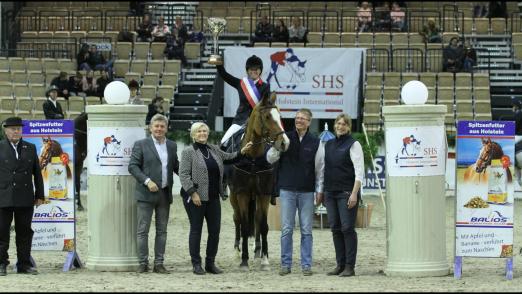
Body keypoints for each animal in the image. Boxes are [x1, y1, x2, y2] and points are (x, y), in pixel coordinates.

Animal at [226, 90, 288, 270]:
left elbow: (263, 226)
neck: (252, 158)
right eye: (267, 116)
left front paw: (265, 259)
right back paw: (237, 251)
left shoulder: (264, 194)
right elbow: (245, 225)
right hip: (233, 197)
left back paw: (257, 251)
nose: (284, 142)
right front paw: (244, 260)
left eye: (279, 116)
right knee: (237, 220)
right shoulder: (242, 194)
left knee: (257, 221)